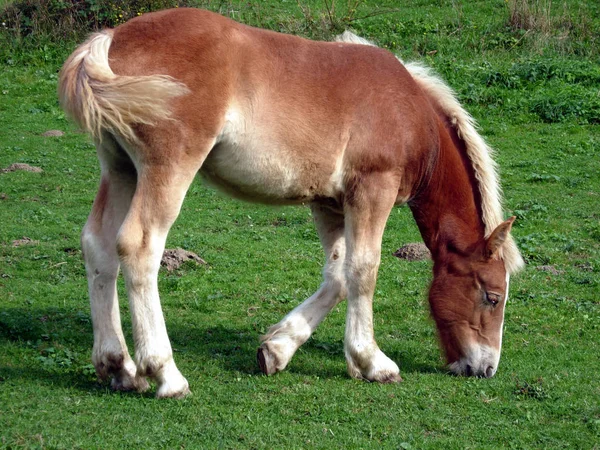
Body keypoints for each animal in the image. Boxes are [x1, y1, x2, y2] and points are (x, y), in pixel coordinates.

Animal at [58, 7, 524, 398]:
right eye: (492, 296)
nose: (486, 368)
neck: (409, 111)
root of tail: (112, 39)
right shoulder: (372, 190)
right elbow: (363, 271)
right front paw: (373, 362)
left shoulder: (330, 202)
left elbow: (337, 275)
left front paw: (277, 349)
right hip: (168, 166)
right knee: (140, 247)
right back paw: (165, 374)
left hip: (121, 170)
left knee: (98, 246)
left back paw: (118, 367)